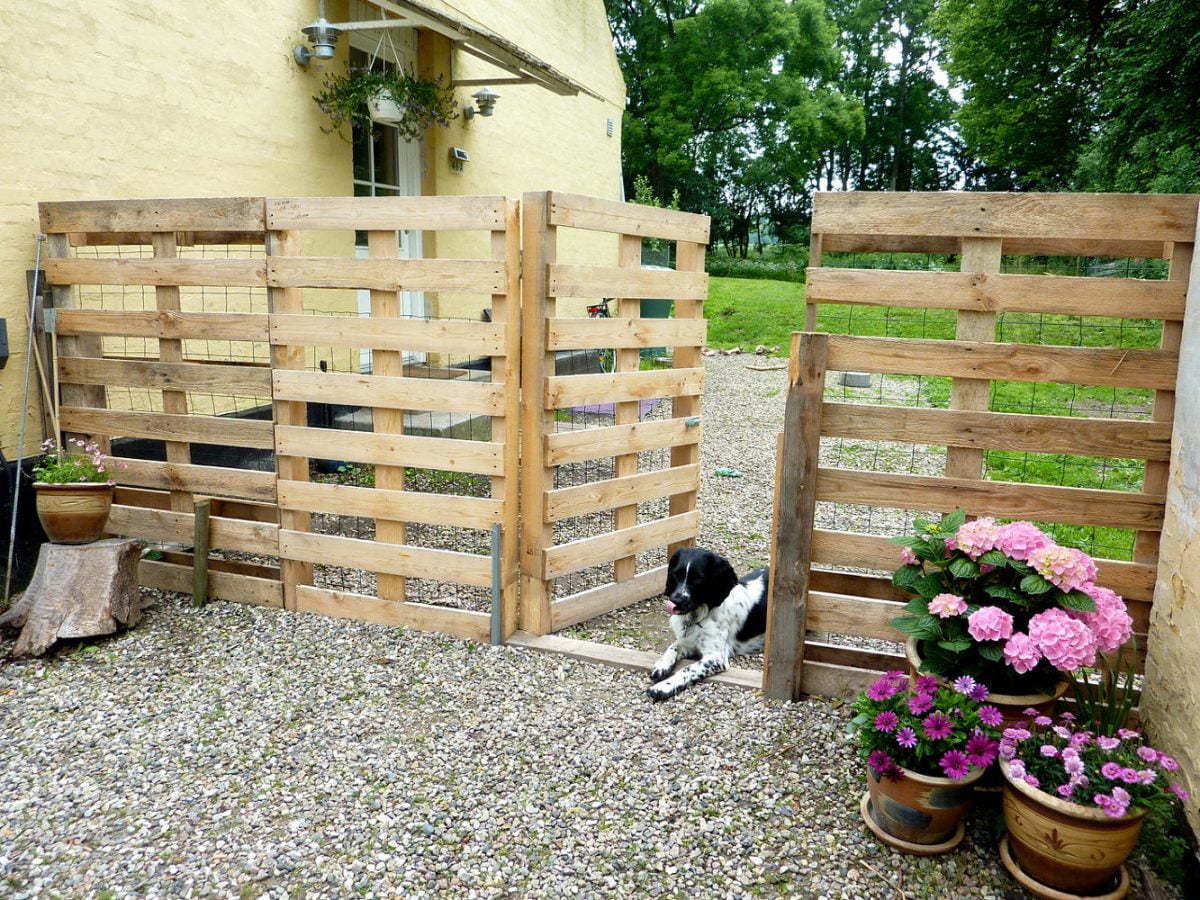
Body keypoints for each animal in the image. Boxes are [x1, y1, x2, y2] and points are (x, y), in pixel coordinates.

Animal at [648, 547, 768, 700]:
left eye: (698, 579)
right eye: (675, 574)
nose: (675, 600)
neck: (698, 616)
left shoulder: (716, 657)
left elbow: (688, 668)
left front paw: (664, 686)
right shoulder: (688, 642)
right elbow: (673, 646)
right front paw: (662, 665)